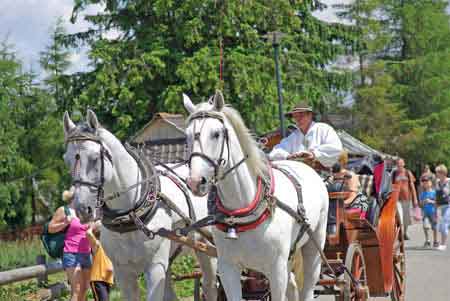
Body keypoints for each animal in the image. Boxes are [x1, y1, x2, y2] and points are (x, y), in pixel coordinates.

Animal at [63, 110, 218, 300]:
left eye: (94, 158)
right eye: (67, 160)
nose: (82, 209)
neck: (130, 214)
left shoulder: (155, 267)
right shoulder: (123, 272)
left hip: (207, 248)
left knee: (210, 286)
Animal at [185, 91, 328, 300]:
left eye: (216, 134)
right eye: (187, 135)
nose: (196, 182)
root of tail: (304, 165)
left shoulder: (276, 270)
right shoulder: (228, 268)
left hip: (314, 245)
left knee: (308, 286)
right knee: (293, 286)